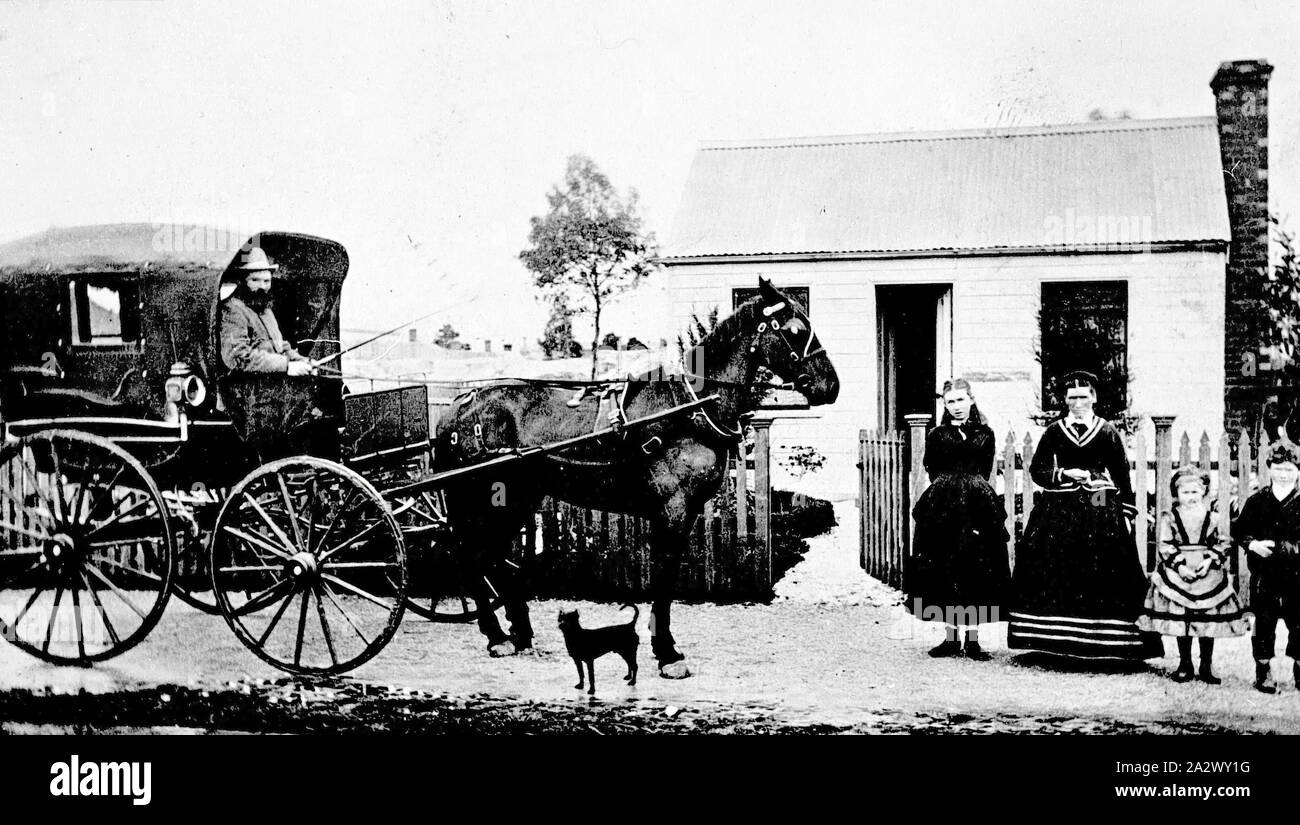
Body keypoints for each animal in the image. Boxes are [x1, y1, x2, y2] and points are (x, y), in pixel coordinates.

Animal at [431, 278, 837, 675]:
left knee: (491, 556)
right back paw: (497, 635)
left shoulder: (686, 512)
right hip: (481, 498)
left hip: (513, 498)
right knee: (471, 555)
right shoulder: (672, 510)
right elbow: (664, 576)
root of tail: (457, 408)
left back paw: (518, 631)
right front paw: (667, 652)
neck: (687, 409)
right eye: (795, 329)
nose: (831, 386)